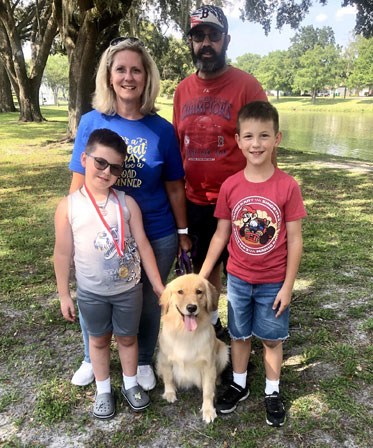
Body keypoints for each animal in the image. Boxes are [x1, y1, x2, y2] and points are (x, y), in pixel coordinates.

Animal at [155, 272, 228, 424]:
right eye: (180, 292)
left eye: (199, 292)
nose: (191, 308)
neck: (185, 332)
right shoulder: (165, 359)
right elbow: (169, 378)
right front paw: (169, 393)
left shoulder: (208, 365)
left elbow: (208, 391)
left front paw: (208, 410)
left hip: (224, 351)